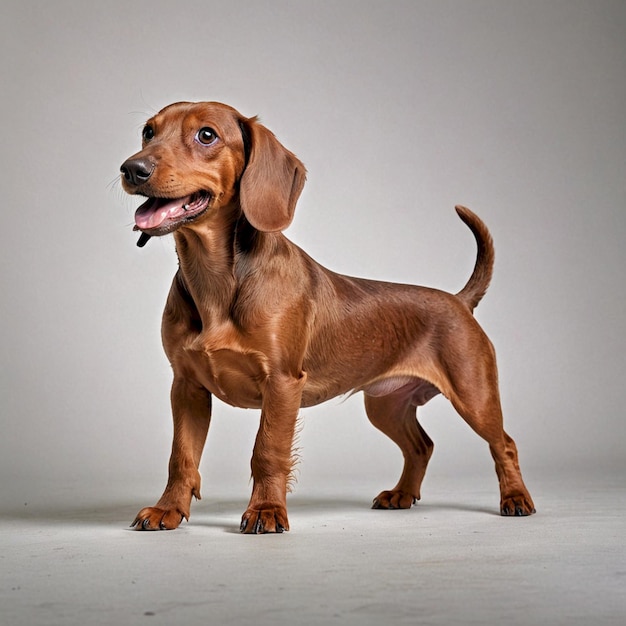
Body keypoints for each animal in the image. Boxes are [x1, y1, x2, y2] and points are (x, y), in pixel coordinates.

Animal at [119, 100, 532, 528]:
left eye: (206, 135)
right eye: (148, 132)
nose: (132, 169)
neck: (215, 281)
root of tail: (459, 300)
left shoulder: (282, 383)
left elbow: (267, 451)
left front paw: (266, 510)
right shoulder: (187, 386)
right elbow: (181, 458)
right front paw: (168, 509)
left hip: (474, 396)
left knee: (505, 444)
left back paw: (515, 498)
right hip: (386, 406)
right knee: (422, 445)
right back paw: (401, 494)